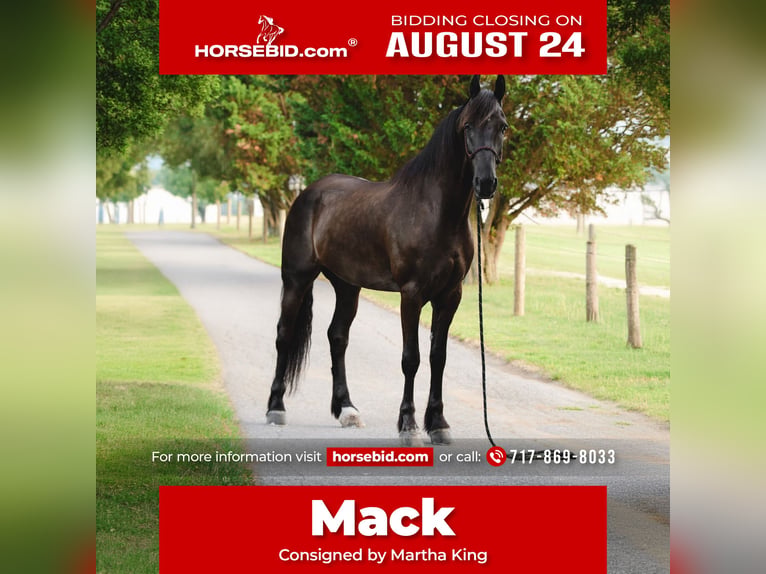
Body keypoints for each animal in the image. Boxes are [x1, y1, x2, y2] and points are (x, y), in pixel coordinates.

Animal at [266, 75, 507, 444]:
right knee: (284, 334)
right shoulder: (412, 294)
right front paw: (408, 425)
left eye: (502, 127)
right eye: (468, 127)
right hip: (296, 279)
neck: (437, 213)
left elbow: (438, 357)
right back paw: (276, 407)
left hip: (347, 287)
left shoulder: (450, 296)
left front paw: (438, 423)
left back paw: (347, 410)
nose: (485, 183)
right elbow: (412, 358)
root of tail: (308, 193)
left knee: (337, 337)